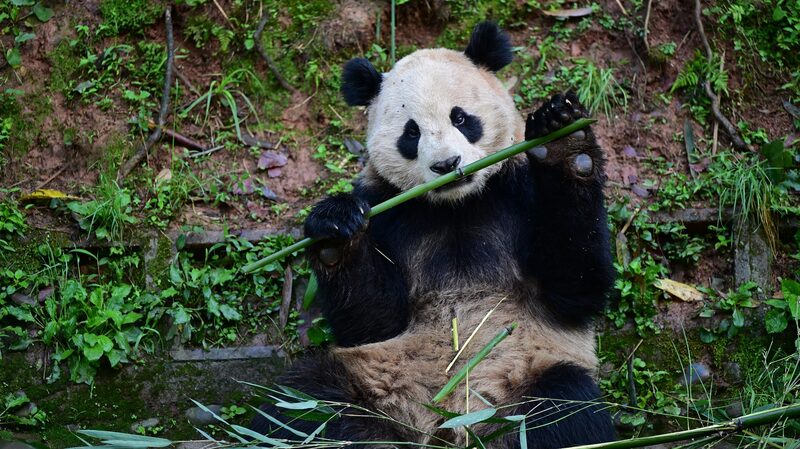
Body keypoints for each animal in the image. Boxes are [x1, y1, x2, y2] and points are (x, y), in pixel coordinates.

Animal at [252, 21, 616, 449]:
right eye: (411, 133)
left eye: (461, 118)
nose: (446, 164)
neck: (455, 206)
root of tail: (448, 424)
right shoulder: (388, 210)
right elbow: (372, 321)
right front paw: (334, 233)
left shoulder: (517, 191)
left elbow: (574, 287)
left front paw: (563, 143)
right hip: (373, 378)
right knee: (305, 406)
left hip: (526, 372)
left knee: (564, 410)